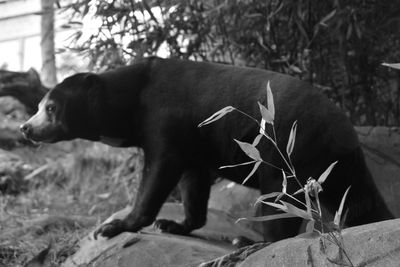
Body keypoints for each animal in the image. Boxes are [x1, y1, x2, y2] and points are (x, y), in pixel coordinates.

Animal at [19, 57, 394, 242]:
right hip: (338, 163)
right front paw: (175, 225)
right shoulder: (194, 144)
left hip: (285, 151)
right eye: (38, 106)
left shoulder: (165, 121)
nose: (26, 128)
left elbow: (158, 173)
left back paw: (257, 243)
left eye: (50, 108)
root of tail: (343, 128)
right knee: (360, 199)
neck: (128, 103)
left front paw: (113, 226)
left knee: (278, 203)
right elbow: (193, 183)